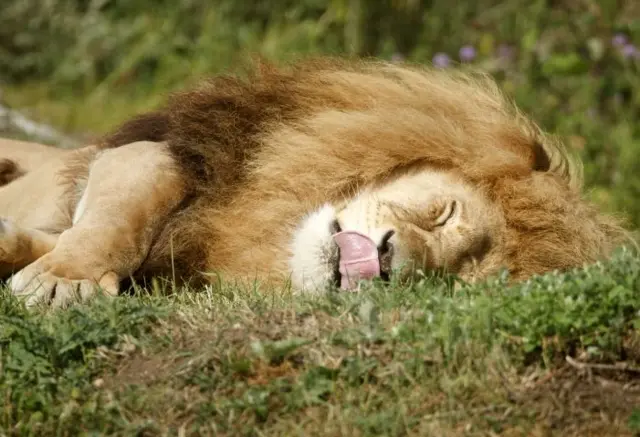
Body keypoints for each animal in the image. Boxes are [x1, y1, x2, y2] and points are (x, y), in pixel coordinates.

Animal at [0, 58, 632, 308]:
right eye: (444, 213)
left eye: (448, 282)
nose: (385, 264)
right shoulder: (156, 153)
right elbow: (121, 219)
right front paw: (63, 281)